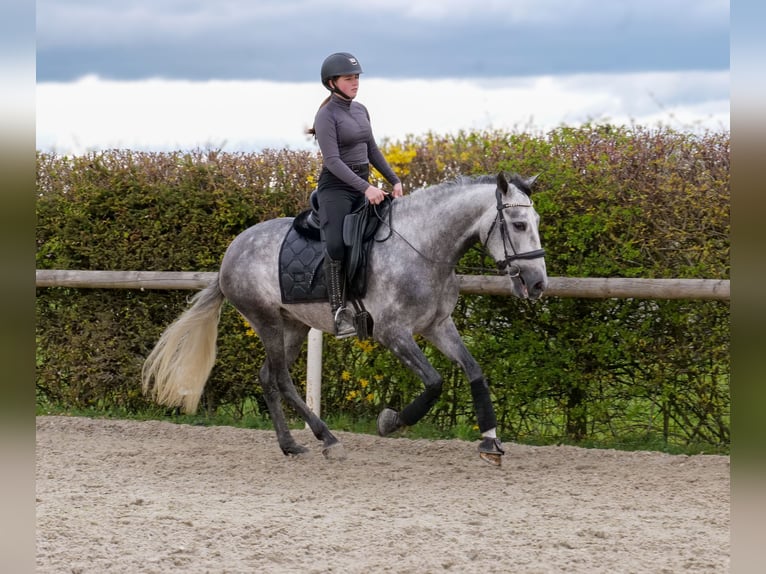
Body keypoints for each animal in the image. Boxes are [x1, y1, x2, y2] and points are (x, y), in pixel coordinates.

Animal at [142, 171, 547, 466]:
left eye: (537, 221)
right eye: (518, 224)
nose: (538, 283)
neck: (424, 247)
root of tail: (232, 251)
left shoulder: (437, 326)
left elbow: (474, 370)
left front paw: (490, 440)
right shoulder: (393, 332)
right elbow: (434, 383)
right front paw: (390, 422)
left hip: (293, 324)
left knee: (268, 377)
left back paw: (292, 444)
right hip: (266, 320)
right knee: (281, 379)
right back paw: (327, 440)